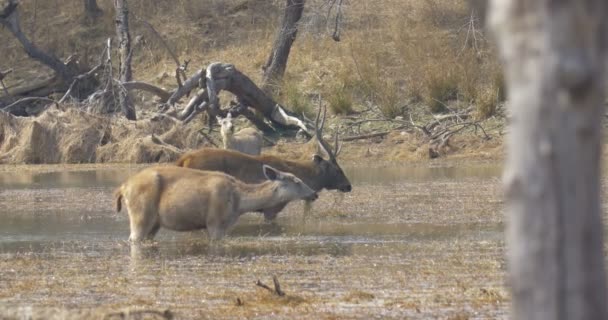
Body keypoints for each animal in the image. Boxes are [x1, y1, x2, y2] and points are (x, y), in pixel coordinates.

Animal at [112, 165, 318, 240]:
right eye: (297, 181)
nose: (314, 194)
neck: (239, 203)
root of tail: (122, 187)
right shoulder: (214, 222)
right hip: (141, 214)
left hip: (155, 223)